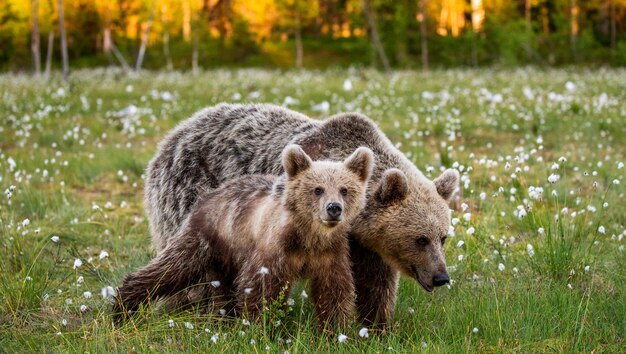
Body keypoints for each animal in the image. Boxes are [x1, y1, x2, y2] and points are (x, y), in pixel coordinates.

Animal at [114, 144, 372, 326]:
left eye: (344, 189)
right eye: (317, 189)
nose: (333, 208)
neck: (308, 237)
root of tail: (208, 193)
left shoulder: (329, 254)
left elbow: (335, 292)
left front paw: (334, 330)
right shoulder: (273, 249)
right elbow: (259, 290)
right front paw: (259, 326)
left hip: (226, 257)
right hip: (205, 237)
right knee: (172, 268)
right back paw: (123, 305)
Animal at [145, 102, 458, 326]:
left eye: (443, 237)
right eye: (420, 239)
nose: (441, 277)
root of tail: (173, 134)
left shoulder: (365, 243)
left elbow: (376, 283)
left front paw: (378, 326)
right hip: (189, 191)